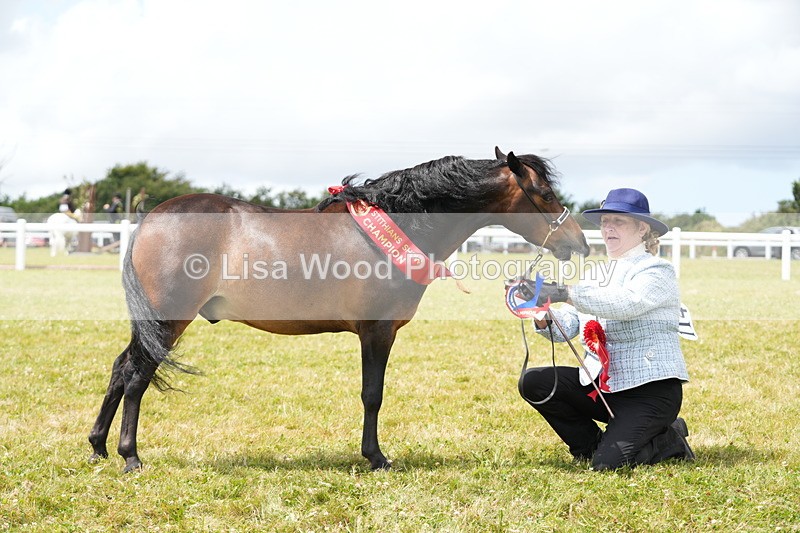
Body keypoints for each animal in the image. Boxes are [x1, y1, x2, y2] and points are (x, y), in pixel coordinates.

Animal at [88, 148, 590, 473]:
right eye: (545, 195)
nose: (579, 244)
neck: (400, 226)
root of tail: (152, 218)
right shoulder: (377, 331)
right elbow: (373, 395)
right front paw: (376, 458)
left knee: (120, 368)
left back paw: (98, 447)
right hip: (167, 320)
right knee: (137, 375)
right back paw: (130, 456)